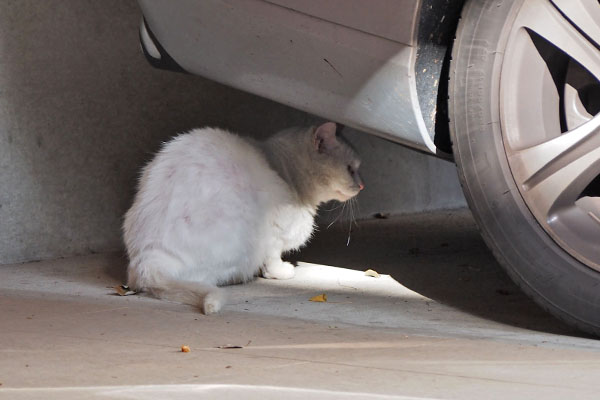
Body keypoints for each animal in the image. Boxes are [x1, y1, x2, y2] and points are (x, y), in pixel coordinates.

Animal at [123, 122, 360, 312]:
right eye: (351, 169)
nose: (362, 185)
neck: (283, 169)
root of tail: (148, 260)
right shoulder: (274, 234)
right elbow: (273, 258)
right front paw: (281, 271)